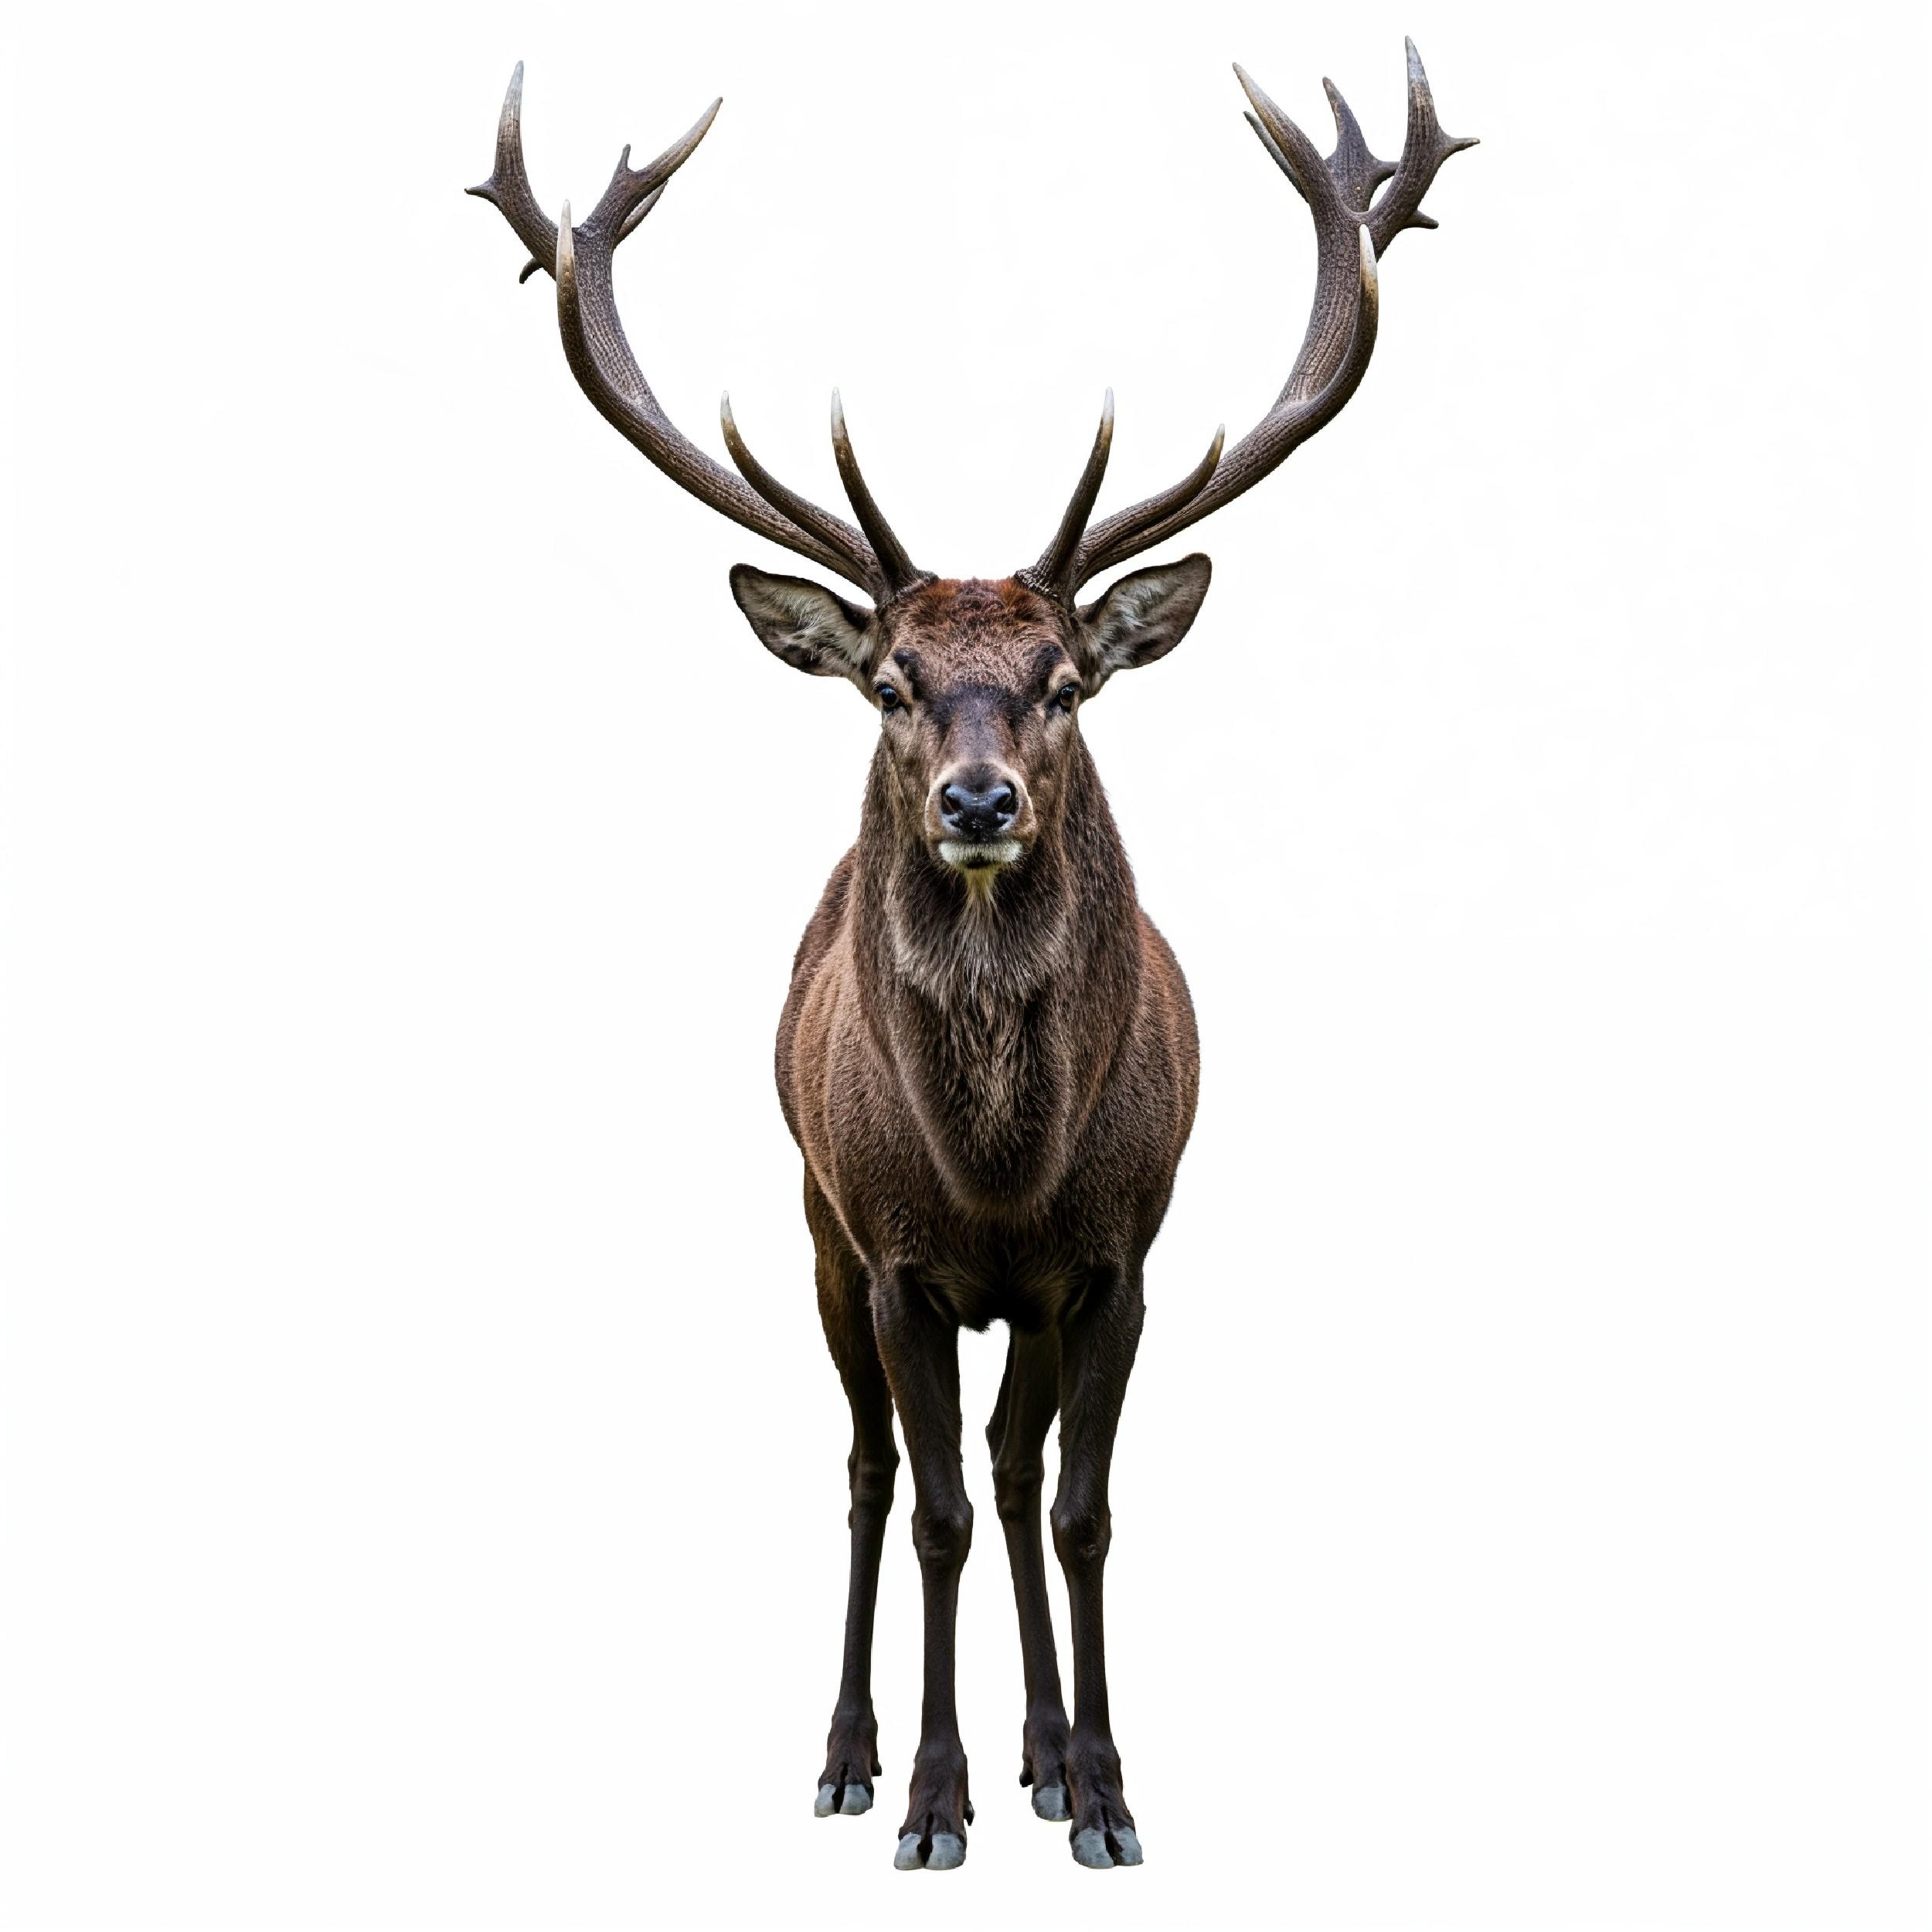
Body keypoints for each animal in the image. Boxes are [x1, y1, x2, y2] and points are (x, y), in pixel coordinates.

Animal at [470, 41, 1473, 1872]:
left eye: (1068, 677)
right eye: (889, 681)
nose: (978, 796)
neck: (1001, 1173)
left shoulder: (1122, 1254)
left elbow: (1073, 1508)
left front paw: (1106, 1787)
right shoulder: (893, 1255)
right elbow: (928, 1506)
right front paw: (930, 1802)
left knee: (1014, 1468)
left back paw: (1044, 1755)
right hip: (809, 1226)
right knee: (874, 1471)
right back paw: (853, 1751)